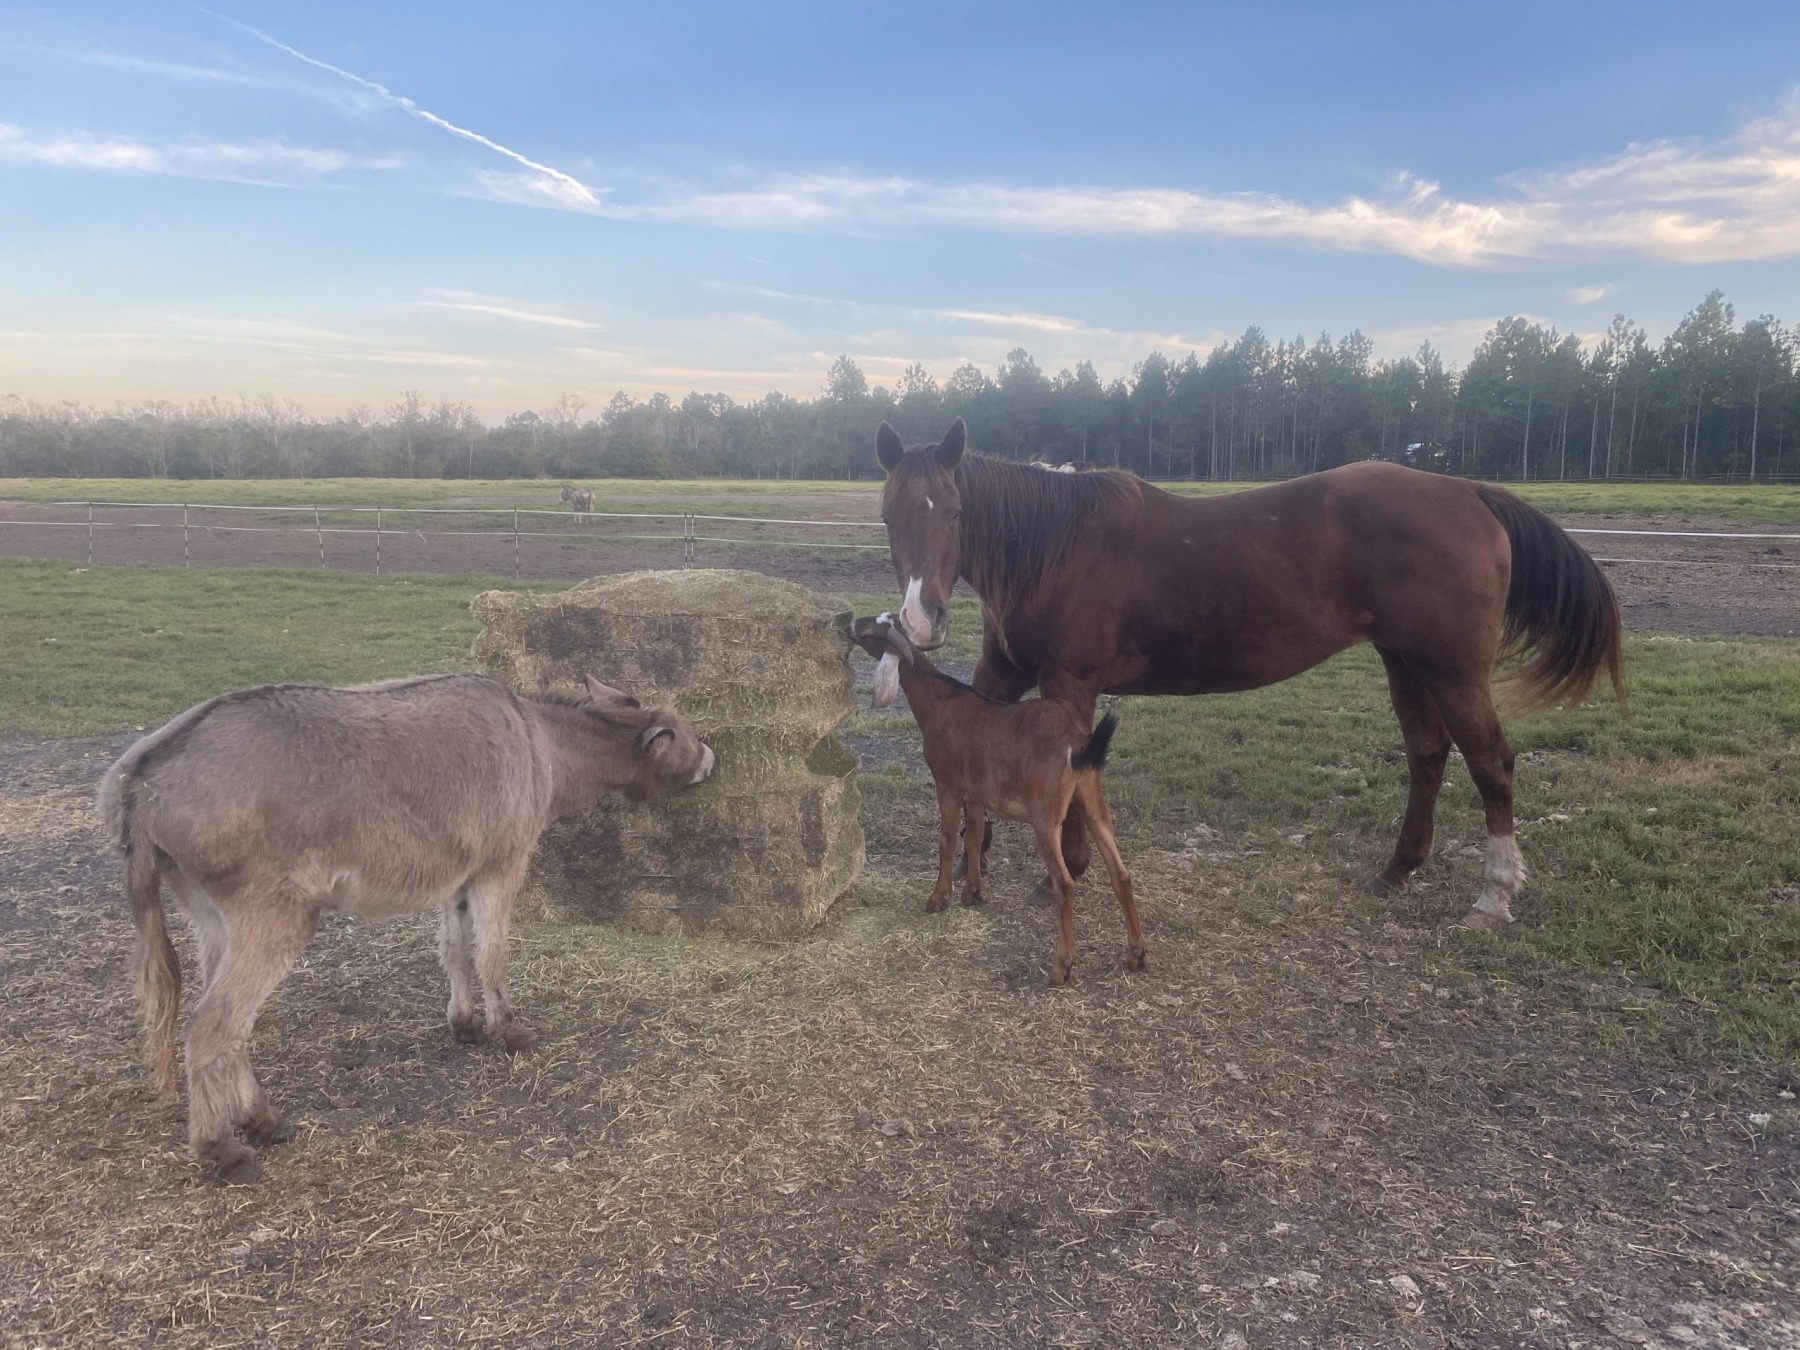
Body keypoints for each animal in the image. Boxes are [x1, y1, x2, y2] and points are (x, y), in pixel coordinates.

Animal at [874, 419, 1624, 931]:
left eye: (957, 511)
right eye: (888, 514)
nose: (921, 617)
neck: (1052, 546)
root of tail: (1468, 491)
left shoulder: (1070, 682)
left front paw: (1064, 870)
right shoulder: (1001, 672)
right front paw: (972, 862)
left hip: (1453, 670)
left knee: (1491, 762)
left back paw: (1493, 895)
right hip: (1406, 663)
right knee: (1427, 754)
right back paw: (1397, 869)